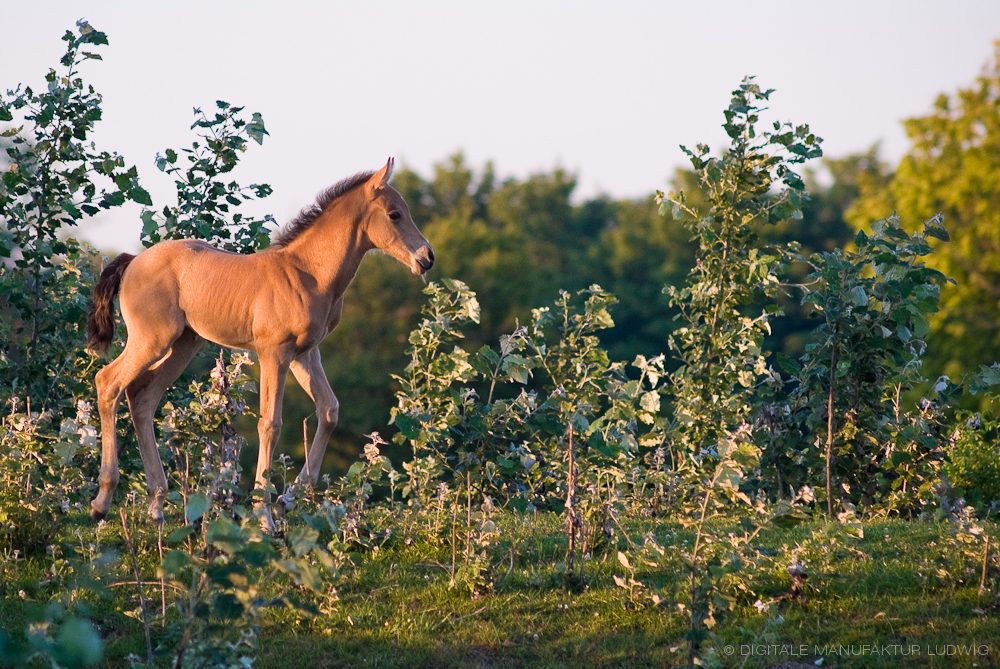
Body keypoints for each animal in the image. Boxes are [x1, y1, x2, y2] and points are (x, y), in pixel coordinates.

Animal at [84, 157, 432, 528]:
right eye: (395, 214)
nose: (427, 257)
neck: (308, 273)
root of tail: (132, 261)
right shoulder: (273, 354)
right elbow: (270, 424)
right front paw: (264, 514)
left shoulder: (305, 354)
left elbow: (329, 410)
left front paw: (287, 500)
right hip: (152, 339)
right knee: (109, 382)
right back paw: (102, 501)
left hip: (184, 343)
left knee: (142, 396)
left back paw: (157, 505)